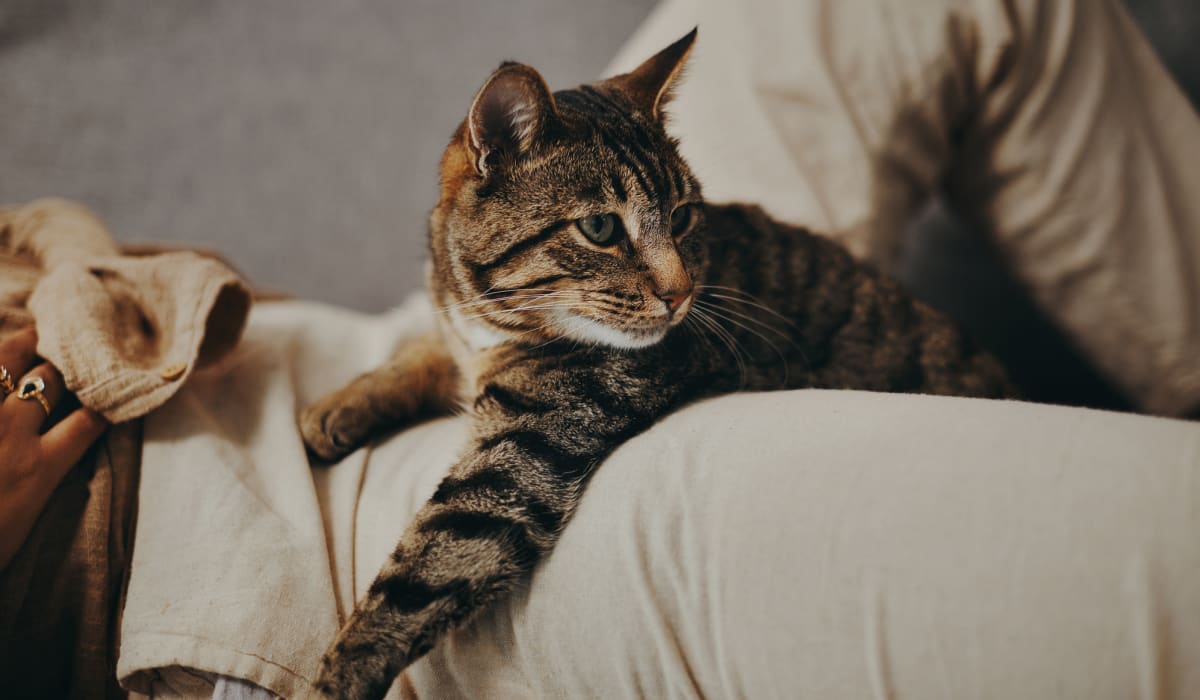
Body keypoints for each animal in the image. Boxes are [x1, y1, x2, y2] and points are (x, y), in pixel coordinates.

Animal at [300, 30, 1012, 696]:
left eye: (683, 216)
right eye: (601, 229)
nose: (682, 294)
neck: (497, 319)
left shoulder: (526, 451)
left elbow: (421, 572)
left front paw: (334, 678)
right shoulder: (460, 337)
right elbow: (422, 350)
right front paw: (337, 406)